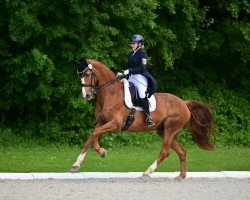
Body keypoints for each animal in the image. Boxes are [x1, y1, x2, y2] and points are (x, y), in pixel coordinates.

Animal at [71, 58, 215, 180]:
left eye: (88, 74)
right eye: (79, 75)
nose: (86, 95)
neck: (109, 93)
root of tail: (184, 103)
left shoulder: (115, 125)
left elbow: (95, 134)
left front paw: (102, 152)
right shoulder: (101, 122)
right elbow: (90, 138)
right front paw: (76, 164)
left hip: (170, 129)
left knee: (165, 152)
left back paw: (147, 173)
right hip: (164, 131)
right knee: (182, 152)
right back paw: (181, 176)